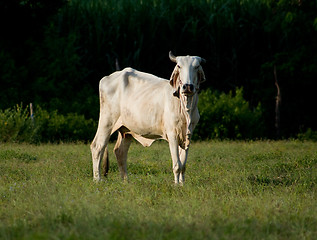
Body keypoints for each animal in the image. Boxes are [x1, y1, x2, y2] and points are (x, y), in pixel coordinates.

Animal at [90, 52, 206, 184]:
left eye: (196, 66)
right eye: (179, 66)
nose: (187, 87)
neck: (186, 108)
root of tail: (107, 78)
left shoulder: (188, 135)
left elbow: (183, 165)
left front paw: (182, 184)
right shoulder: (172, 134)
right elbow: (177, 165)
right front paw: (176, 185)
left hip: (126, 130)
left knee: (120, 152)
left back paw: (126, 182)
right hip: (107, 121)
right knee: (97, 146)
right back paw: (97, 179)